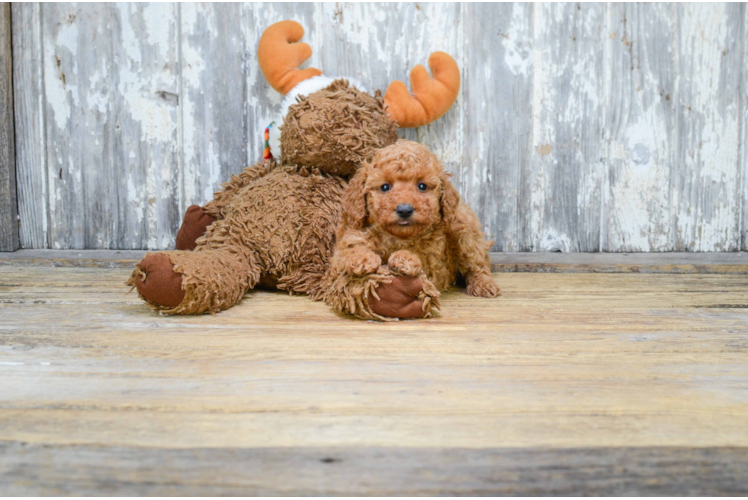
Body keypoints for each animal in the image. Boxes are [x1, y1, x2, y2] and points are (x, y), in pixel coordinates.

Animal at [324, 140, 500, 320]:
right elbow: (348, 251)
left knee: (477, 264)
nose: (404, 210)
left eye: (422, 186)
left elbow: (420, 260)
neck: (397, 236)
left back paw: (484, 284)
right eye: (385, 187)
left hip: (463, 229)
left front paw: (405, 258)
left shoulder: (434, 265)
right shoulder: (344, 248)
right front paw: (362, 258)